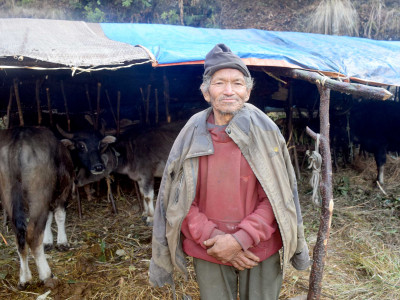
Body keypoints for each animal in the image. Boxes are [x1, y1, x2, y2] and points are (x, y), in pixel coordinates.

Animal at [0, 126, 75, 288]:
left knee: (20, 234)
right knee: (32, 233)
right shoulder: (64, 192)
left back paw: (24, 278)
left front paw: (48, 241)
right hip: (39, 192)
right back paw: (47, 275)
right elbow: (59, 216)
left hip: (7, 191)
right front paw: (62, 242)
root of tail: (18, 137)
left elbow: (48, 220)